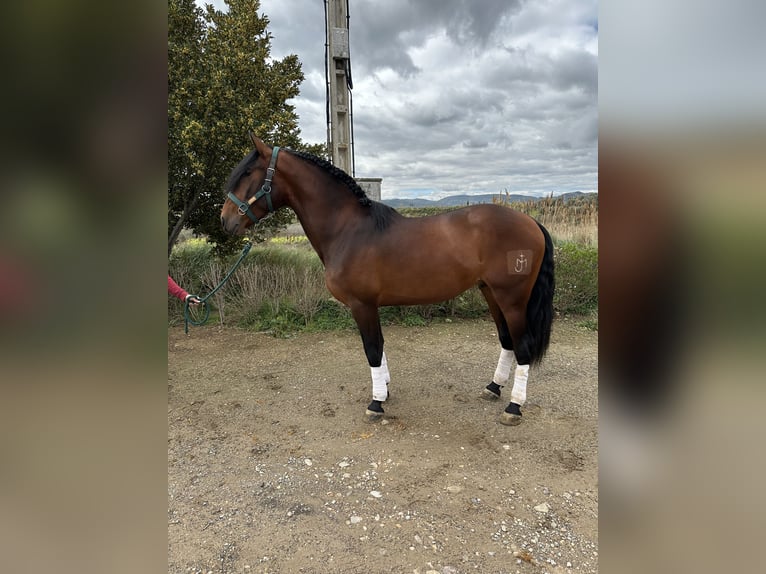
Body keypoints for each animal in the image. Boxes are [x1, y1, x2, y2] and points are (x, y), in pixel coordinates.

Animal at [221, 135, 555, 425]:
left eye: (248, 172)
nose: (226, 221)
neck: (349, 230)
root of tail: (531, 222)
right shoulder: (370, 306)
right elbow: (379, 348)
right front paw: (385, 390)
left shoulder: (362, 305)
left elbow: (372, 348)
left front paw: (376, 403)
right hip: (491, 293)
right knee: (507, 340)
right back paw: (493, 388)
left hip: (512, 298)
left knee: (523, 346)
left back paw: (514, 407)